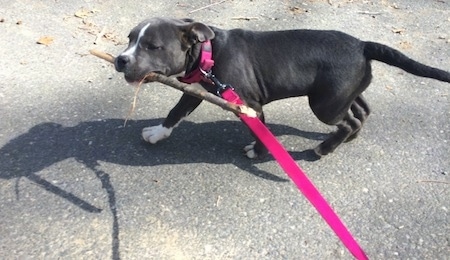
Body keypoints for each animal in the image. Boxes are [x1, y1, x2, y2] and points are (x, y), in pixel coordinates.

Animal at [115, 17, 450, 158]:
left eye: (152, 46)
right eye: (129, 39)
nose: (120, 59)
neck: (208, 50)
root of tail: (362, 45)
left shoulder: (249, 104)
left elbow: (260, 130)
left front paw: (259, 151)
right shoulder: (196, 92)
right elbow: (176, 111)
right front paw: (158, 133)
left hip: (324, 105)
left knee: (348, 120)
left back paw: (324, 148)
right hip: (337, 94)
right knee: (361, 109)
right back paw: (349, 138)